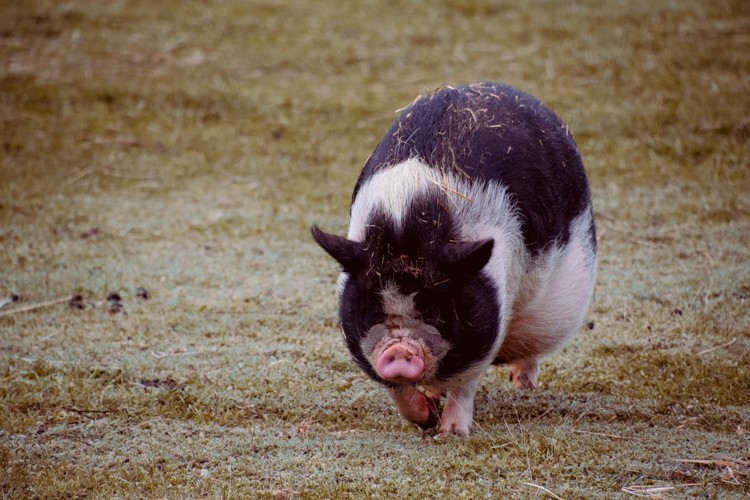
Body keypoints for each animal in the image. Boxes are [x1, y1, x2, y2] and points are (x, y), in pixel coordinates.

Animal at [312, 81, 600, 434]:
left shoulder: (486, 324)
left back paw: (522, 384)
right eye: (371, 308)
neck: (404, 223)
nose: (398, 349)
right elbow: (396, 390)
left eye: (434, 311)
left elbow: (464, 383)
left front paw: (451, 433)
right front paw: (425, 418)